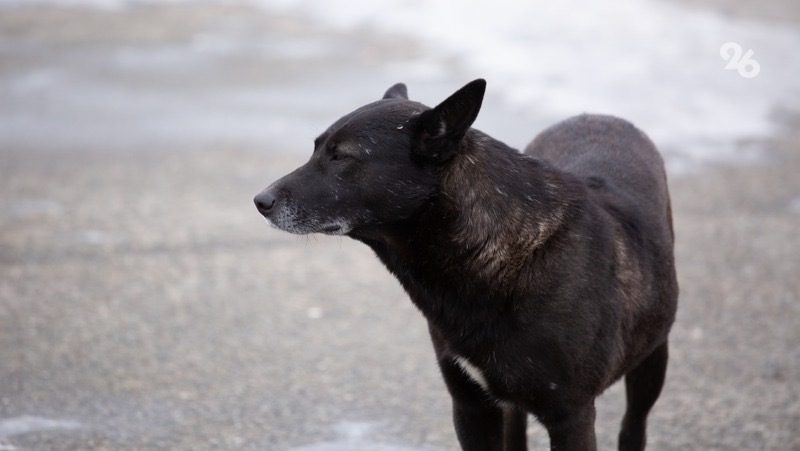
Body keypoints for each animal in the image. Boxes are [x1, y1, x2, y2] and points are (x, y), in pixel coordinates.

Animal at [255, 79, 676, 450]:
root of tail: (599, 116)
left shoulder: (571, 417)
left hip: (652, 363)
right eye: (316, 149)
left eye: (341, 155)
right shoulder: (472, 407)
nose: (260, 201)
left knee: (633, 426)